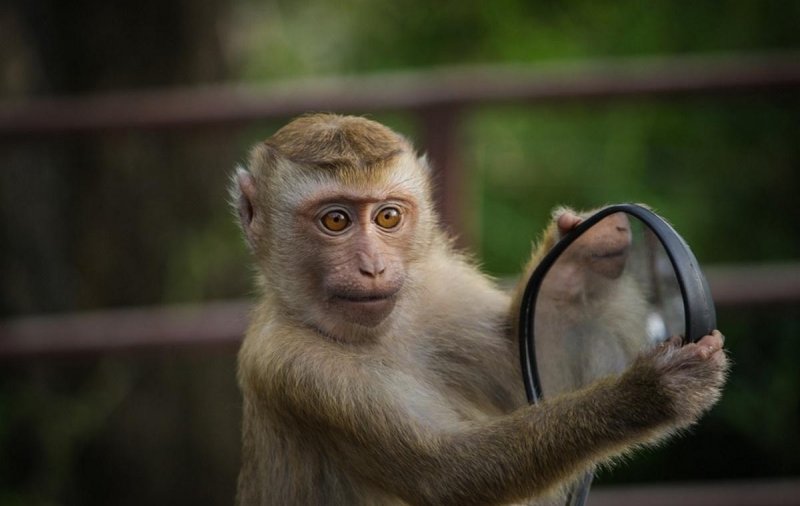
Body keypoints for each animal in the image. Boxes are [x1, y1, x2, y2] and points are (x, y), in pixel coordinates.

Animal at [230, 114, 724, 506]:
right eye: (335, 220)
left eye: (388, 217)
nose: (373, 267)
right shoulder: (293, 367)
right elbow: (447, 473)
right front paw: (647, 394)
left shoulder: (441, 288)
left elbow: (523, 368)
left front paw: (578, 256)